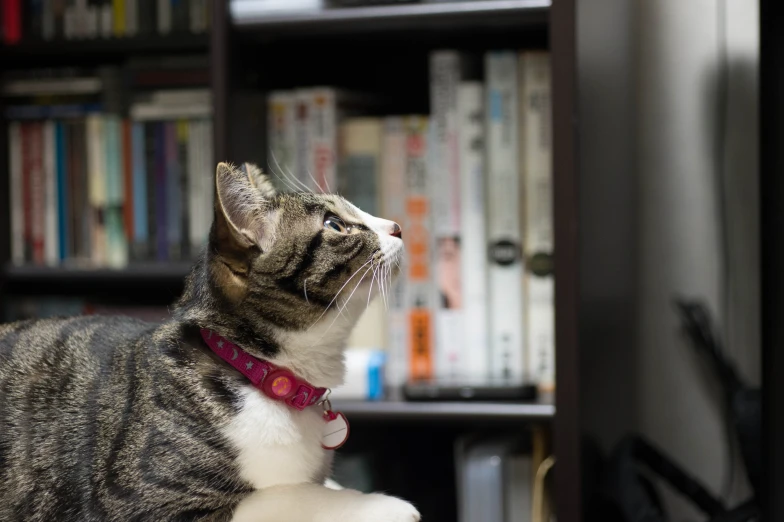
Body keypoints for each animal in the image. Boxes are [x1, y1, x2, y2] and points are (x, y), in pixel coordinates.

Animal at [0, 162, 422, 520]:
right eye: (335, 224)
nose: (397, 226)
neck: (259, 371)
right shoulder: (145, 500)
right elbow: (284, 495)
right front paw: (382, 504)